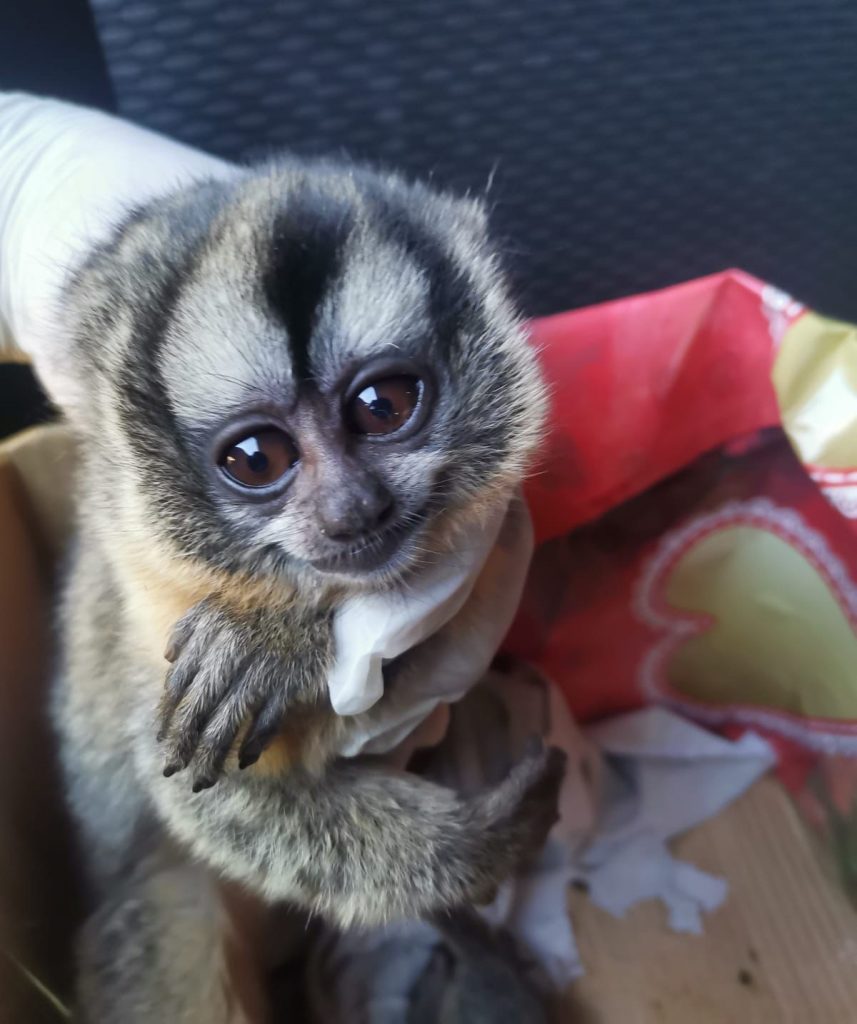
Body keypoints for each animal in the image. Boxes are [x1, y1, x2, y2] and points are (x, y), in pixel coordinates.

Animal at [48, 156, 564, 1021]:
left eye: (382, 406)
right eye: (256, 458)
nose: (353, 508)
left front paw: (269, 644)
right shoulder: (142, 592)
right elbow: (200, 794)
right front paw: (489, 843)